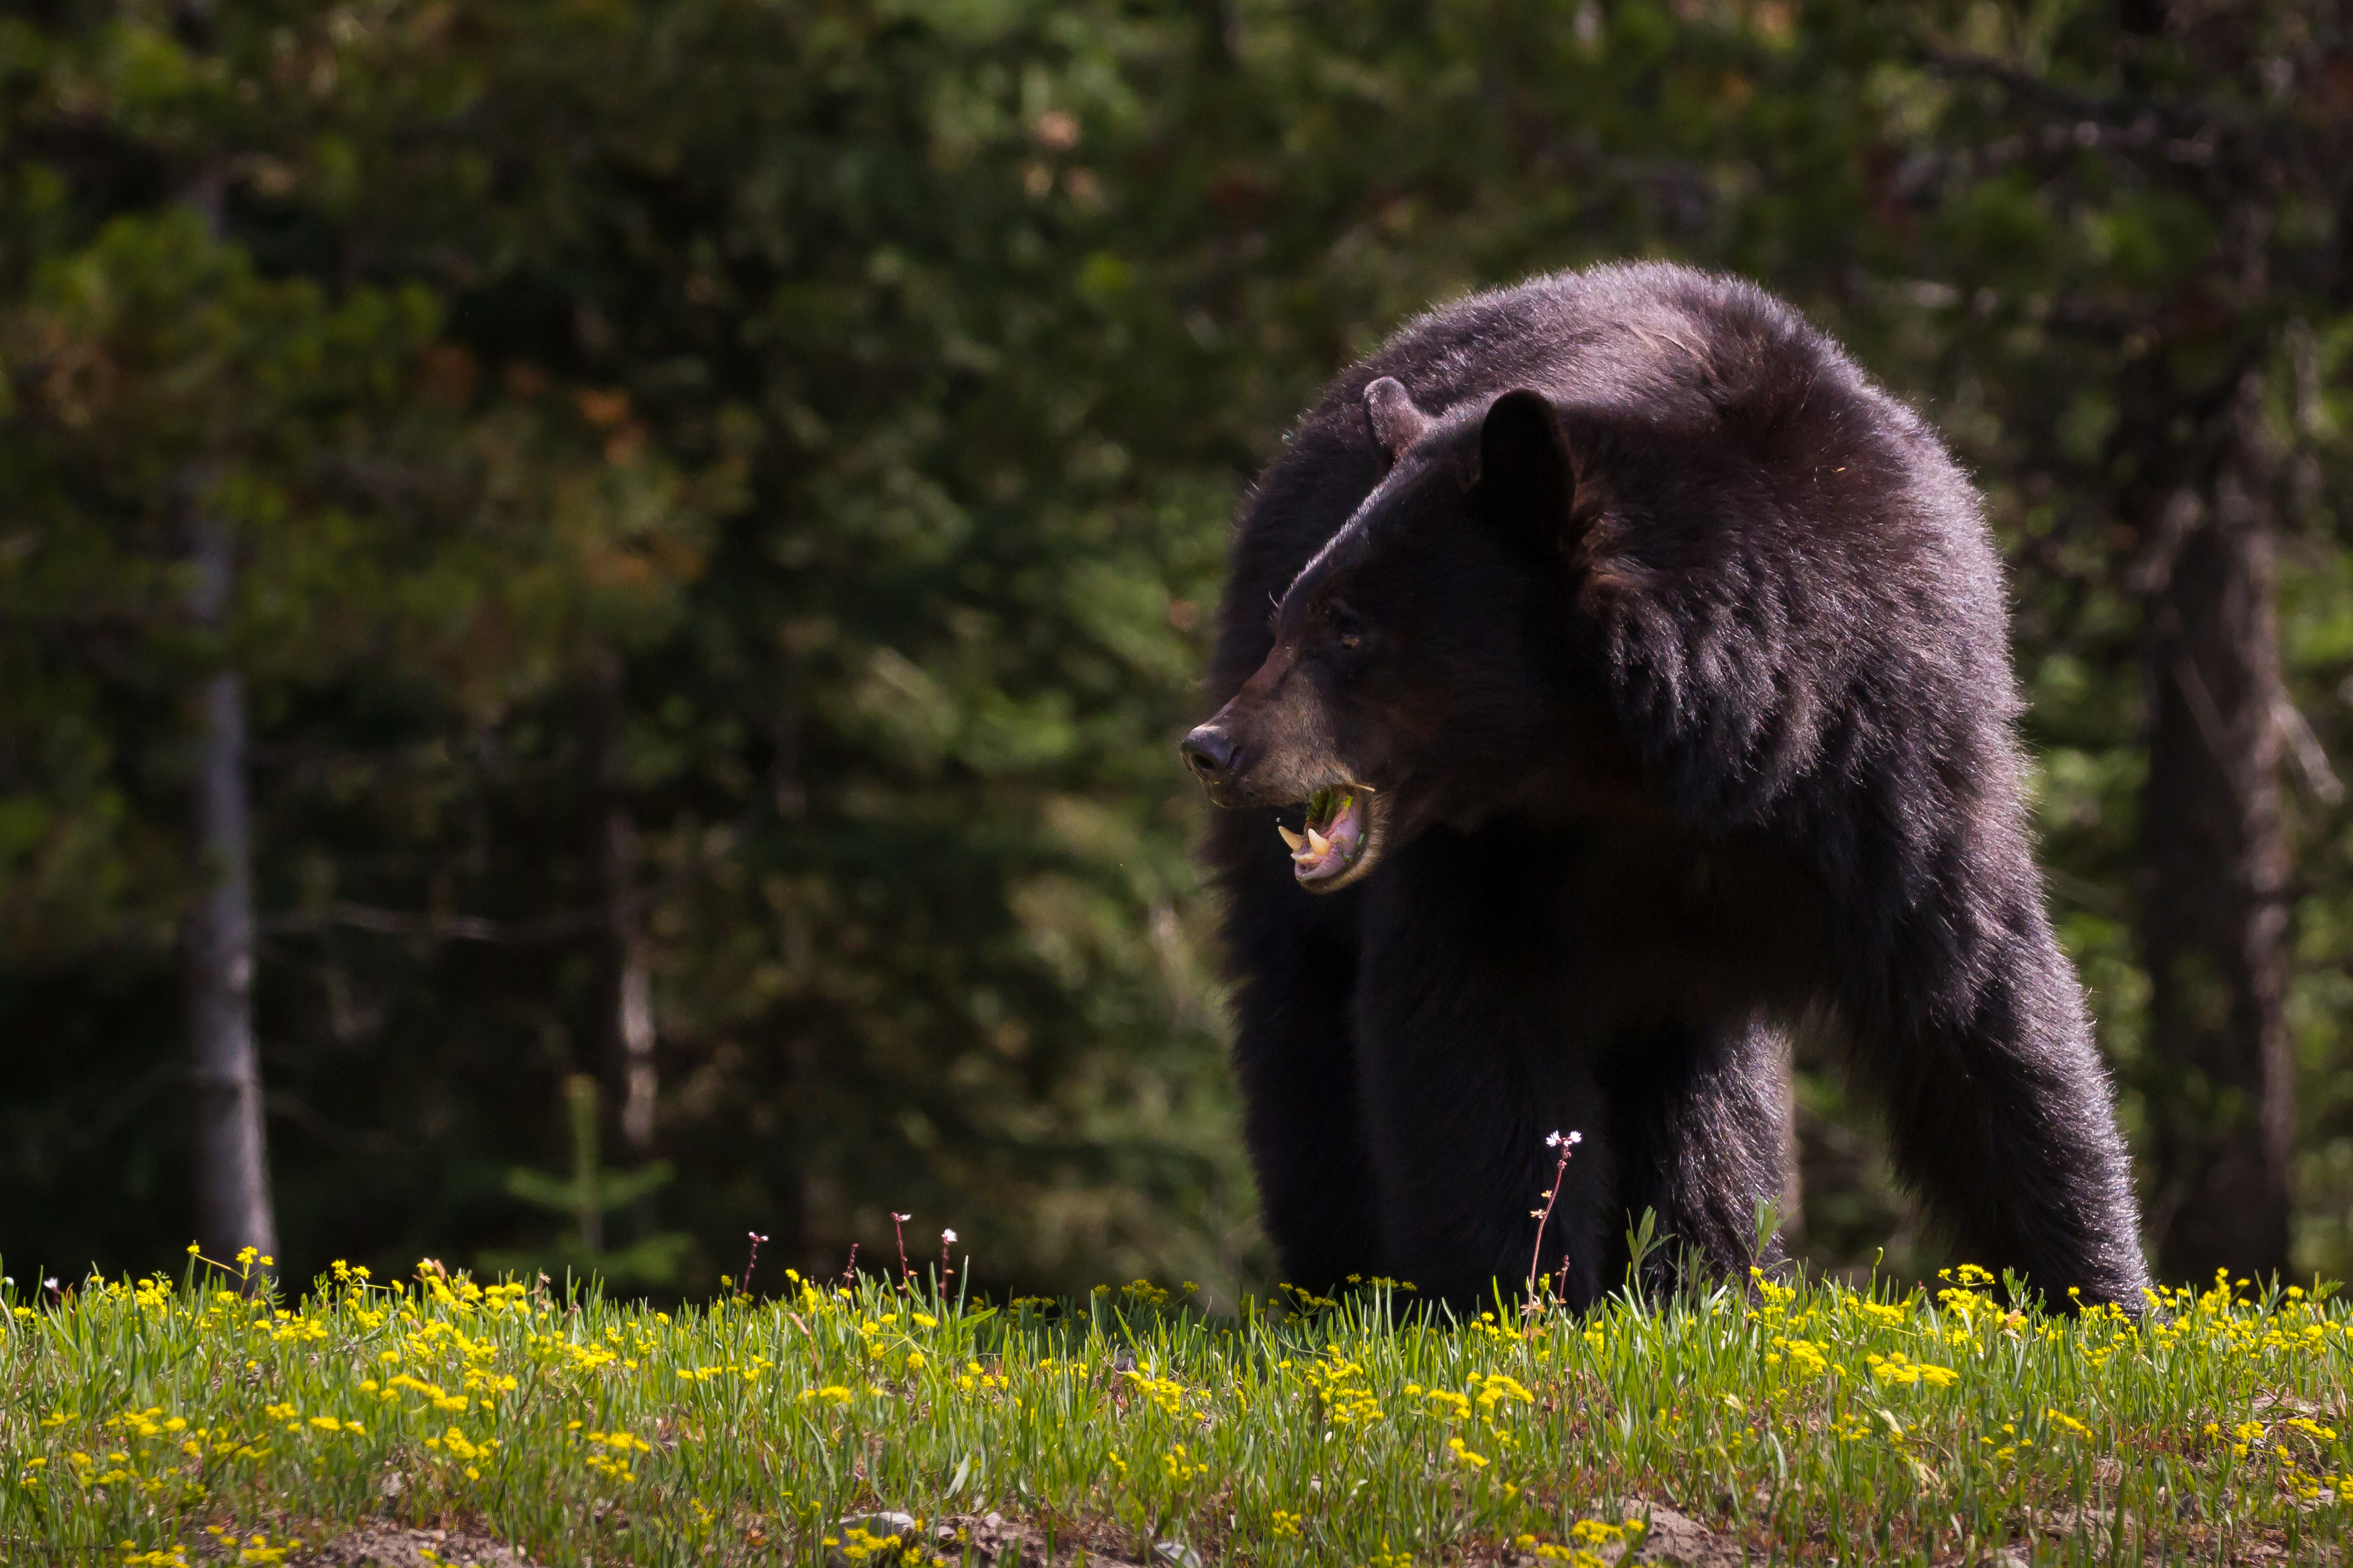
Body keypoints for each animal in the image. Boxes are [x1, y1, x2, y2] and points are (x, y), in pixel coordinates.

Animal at [1195, 266, 2155, 1316]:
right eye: (1297, 615)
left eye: (1351, 627)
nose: (1217, 748)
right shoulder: (1486, 851)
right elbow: (1468, 1029)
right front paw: (1515, 1300)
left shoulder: (1890, 763)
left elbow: (1983, 1011)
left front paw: (2103, 1298)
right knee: (1304, 1043)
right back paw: (1343, 1278)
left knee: (1706, 1109)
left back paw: (1704, 1275)